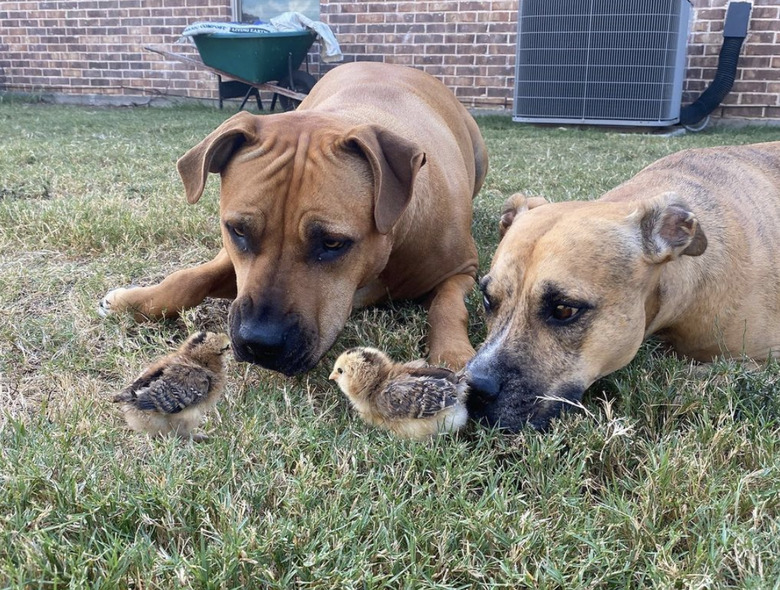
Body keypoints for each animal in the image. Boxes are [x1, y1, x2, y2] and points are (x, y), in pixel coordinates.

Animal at [100, 63, 484, 374]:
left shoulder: (463, 270)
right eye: (237, 230)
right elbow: (190, 278)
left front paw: (453, 354)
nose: (258, 342)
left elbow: (447, 306)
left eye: (332, 243)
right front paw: (132, 301)